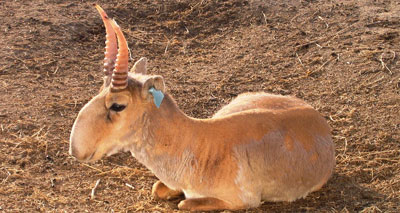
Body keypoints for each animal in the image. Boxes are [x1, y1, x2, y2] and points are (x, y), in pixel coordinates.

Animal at [69, 5, 334, 211]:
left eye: (118, 105)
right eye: (99, 90)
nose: (76, 149)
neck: (197, 143)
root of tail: (317, 119)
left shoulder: (242, 201)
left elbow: (184, 203)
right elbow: (158, 188)